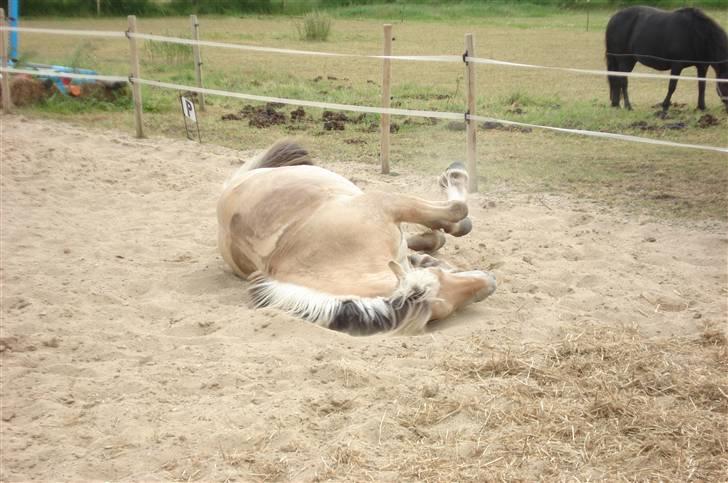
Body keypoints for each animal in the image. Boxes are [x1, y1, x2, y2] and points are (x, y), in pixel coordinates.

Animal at [216, 141, 494, 336]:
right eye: (441, 311)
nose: (490, 282)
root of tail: (231, 187)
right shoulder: (388, 204)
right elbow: (458, 210)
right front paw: (455, 175)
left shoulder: (389, 205)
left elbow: (454, 220)